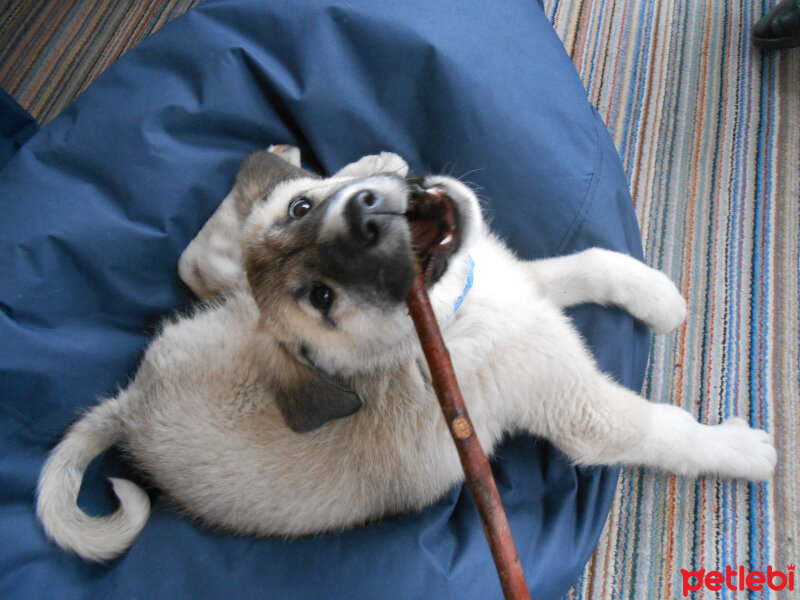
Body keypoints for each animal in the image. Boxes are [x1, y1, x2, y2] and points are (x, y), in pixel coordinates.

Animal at [34, 146, 780, 564]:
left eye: (303, 208)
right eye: (323, 298)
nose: (367, 212)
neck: (455, 317)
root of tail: (130, 407)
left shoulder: (518, 279)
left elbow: (585, 265)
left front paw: (656, 295)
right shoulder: (585, 415)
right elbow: (666, 432)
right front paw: (743, 451)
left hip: (223, 310)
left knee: (204, 256)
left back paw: (291, 153)